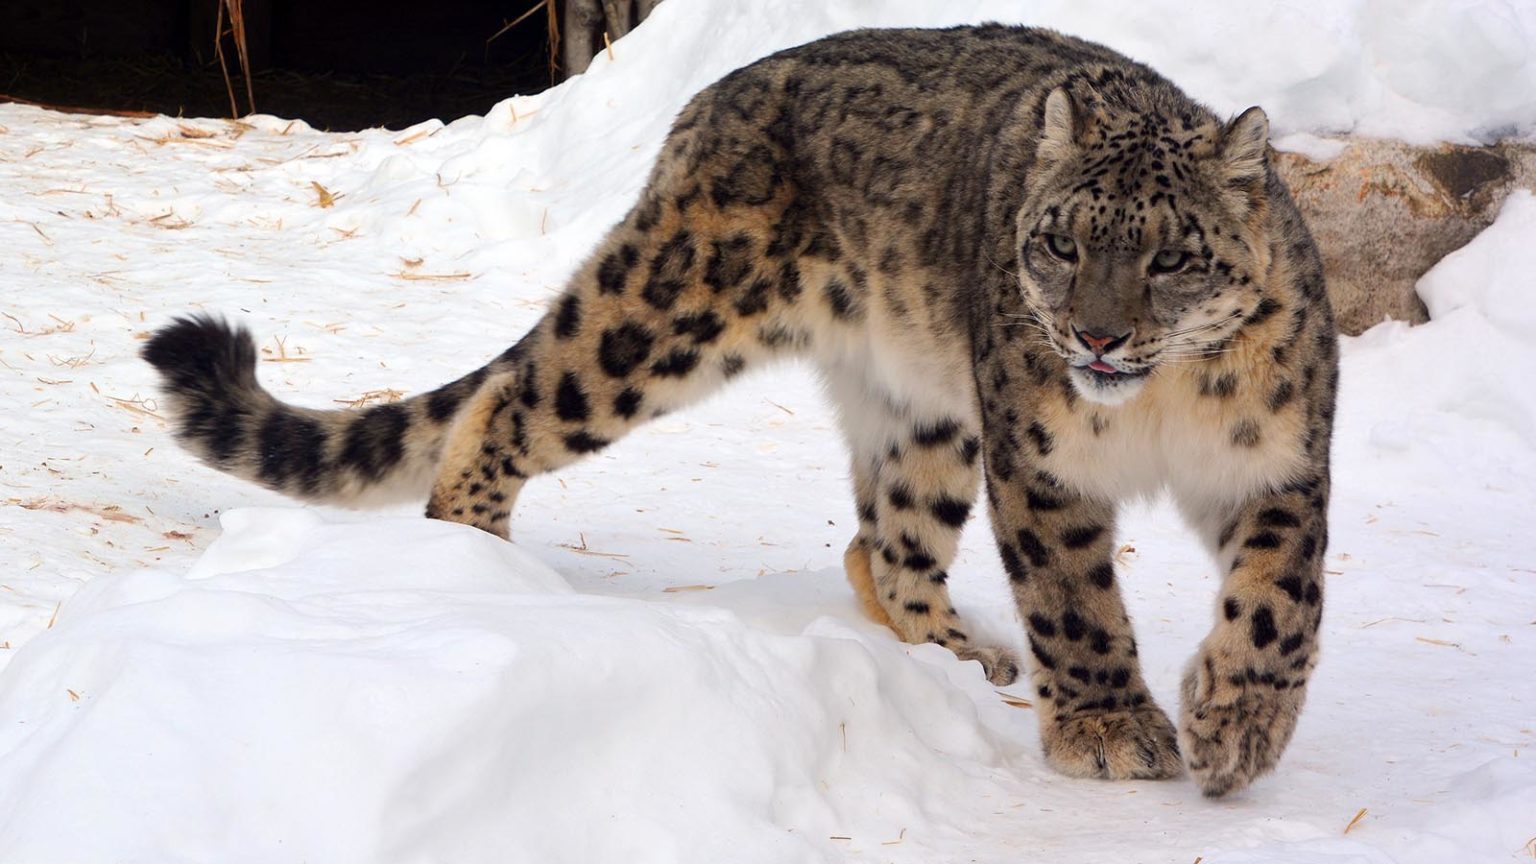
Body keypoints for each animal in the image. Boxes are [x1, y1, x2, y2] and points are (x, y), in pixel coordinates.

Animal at [144, 26, 1333, 793]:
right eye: (1059, 242)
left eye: (1171, 256)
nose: (1094, 338)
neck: (1160, 410)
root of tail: (711, 101)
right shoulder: (1043, 464)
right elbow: (1075, 600)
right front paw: (1112, 730)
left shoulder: (1277, 463)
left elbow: (1283, 602)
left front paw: (1238, 727)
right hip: (662, 319)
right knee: (512, 396)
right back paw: (481, 570)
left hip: (927, 414)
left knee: (886, 536)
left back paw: (955, 651)